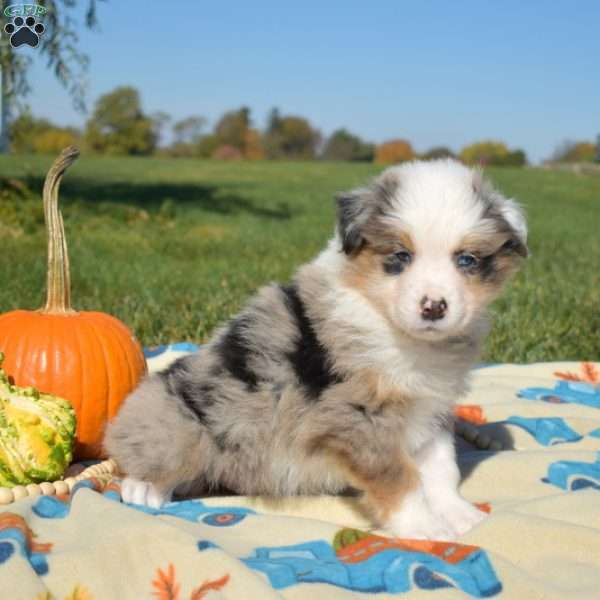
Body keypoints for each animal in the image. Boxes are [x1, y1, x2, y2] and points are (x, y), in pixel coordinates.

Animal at [105, 158, 528, 540]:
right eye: (400, 257)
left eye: (467, 260)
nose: (434, 307)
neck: (401, 335)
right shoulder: (357, 417)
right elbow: (399, 477)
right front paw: (424, 528)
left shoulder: (430, 405)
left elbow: (442, 467)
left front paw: (459, 515)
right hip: (182, 419)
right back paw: (144, 486)